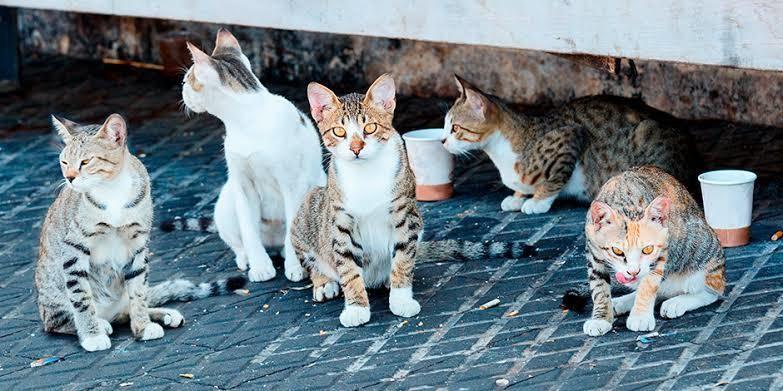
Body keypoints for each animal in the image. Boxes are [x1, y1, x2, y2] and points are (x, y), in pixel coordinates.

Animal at [35, 113, 245, 352]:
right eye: (64, 162)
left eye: (86, 162)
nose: (69, 178)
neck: (112, 190)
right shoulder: (74, 248)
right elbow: (81, 297)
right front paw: (92, 335)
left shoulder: (136, 244)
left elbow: (138, 291)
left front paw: (143, 326)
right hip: (53, 297)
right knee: (57, 321)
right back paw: (100, 323)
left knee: (127, 309)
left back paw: (162, 315)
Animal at [290, 75, 544, 330]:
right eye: (339, 131)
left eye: (370, 128)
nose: (355, 148)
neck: (366, 174)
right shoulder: (341, 221)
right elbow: (348, 266)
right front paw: (356, 308)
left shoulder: (405, 214)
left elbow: (403, 258)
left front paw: (401, 298)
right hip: (307, 209)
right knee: (314, 259)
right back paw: (324, 282)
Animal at [440, 75, 692, 216]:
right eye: (444, 126)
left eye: (455, 128)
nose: (442, 141)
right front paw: (517, 196)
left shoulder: (570, 137)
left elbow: (554, 179)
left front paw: (537, 202)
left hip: (645, 137)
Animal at [560, 166, 724, 336]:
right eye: (617, 251)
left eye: (648, 249)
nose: (633, 271)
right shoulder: (593, 252)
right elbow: (599, 287)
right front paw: (601, 318)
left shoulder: (662, 252)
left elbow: (648, 284)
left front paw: (640, 317)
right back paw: (622, 302)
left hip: (702, 253)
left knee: (712, 291)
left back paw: (677, 302)